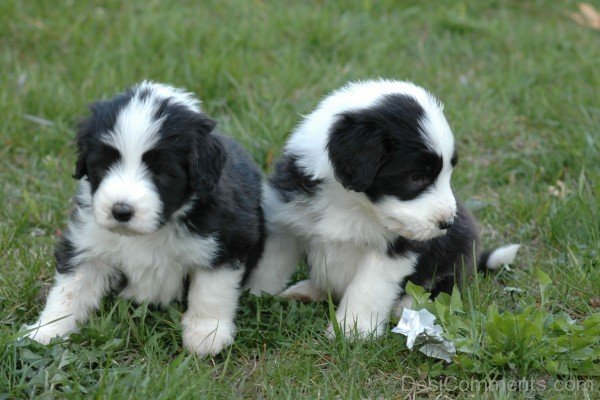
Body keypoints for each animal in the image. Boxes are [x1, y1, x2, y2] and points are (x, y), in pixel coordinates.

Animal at [25, 82, 264, 356]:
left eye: (162, 172)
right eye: (104, 165)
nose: (121, 211)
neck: (149, 233)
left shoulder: (228, 239)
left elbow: (211, 289)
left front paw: (206, 333)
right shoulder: (88, 242)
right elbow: (69, 291)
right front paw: (46, 331)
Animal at [246, 79, 516, 340]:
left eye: (448, 173)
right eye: (416, 177)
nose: (447, 223)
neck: (349, 204)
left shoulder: (392, 252)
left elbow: (366, 289)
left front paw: (352, 331)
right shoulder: (285, 220)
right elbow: (269, 265)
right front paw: (255, 296)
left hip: (457, 255)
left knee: (446, 289)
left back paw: (406, 305)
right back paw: (305, 290)